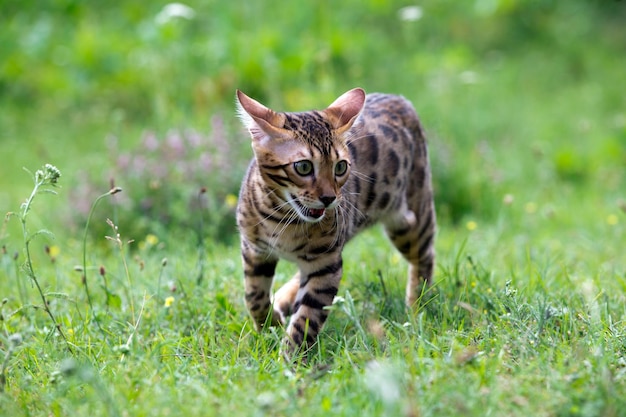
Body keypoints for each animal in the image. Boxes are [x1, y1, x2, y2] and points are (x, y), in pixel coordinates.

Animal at [234, 88, 434, 358]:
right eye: (303, 166)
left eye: (340, 167)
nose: (329, 198)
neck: (283, 219)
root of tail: (397, 98)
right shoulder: (255, 250)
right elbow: (254, 297)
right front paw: (269, 325)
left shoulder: (326, 265)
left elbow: (306, 318)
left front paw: (289, 359)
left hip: (409, 218)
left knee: (425, 255)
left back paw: (417, 307)